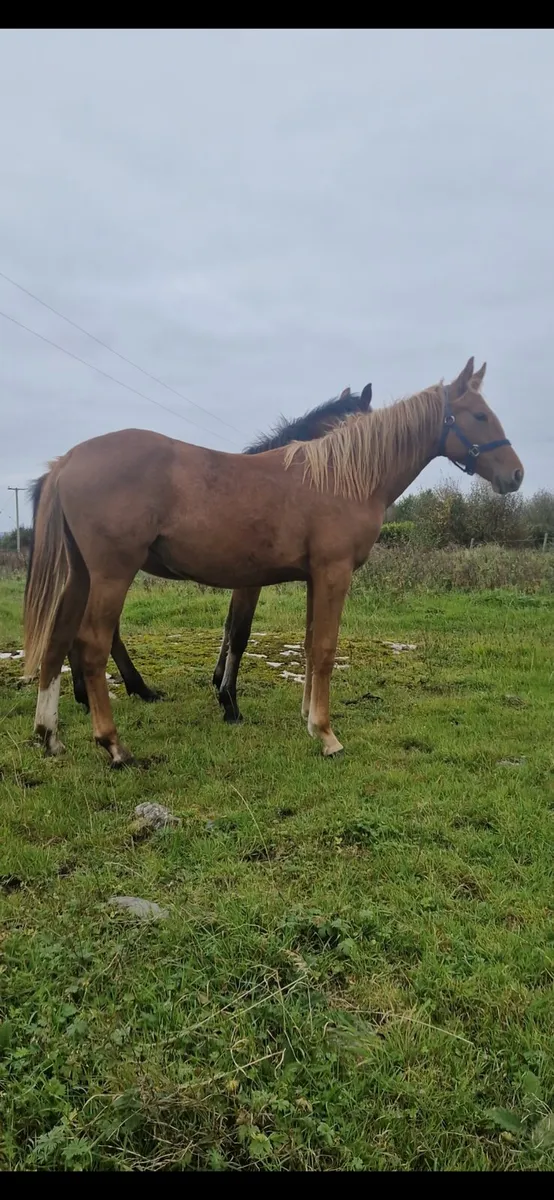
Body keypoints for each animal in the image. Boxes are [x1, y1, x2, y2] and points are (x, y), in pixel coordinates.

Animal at [33, 384, 372, 720]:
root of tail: (64, 463)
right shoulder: (250, 582)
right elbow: (240, 632)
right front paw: (229, 701)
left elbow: (228, 626)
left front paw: (218, 679)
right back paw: (133, 690)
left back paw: (92, 695)